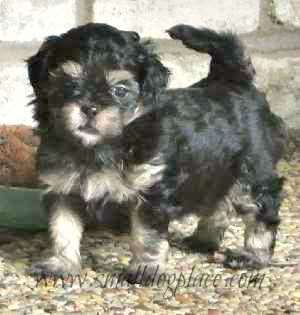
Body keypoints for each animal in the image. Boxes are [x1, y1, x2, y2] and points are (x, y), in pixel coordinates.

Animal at [27, 22, 286, 284]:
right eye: (68, 84)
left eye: (119, 90)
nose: (89, 108)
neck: (100, 146)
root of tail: (234, 81)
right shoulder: (63, 189)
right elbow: (63, 229)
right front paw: (61, 264)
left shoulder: (150, 192)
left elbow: (147, 235)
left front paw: (145, 269)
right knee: (219, 202)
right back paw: (204, 240)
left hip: (252, 170)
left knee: (262, 211)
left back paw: (252, 255)